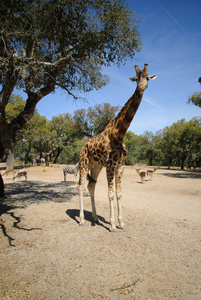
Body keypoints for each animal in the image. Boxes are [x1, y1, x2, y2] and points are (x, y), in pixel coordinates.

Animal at [77, 63, 157, 232]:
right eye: (136, 78)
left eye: (147, 78)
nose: (142, 86)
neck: (119, 134)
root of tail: (83, 147)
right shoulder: (110, 165)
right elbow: (111, 194)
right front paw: (113, 225)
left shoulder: (120, 165)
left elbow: (119, 194)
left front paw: (122, 223)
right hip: (84, 163)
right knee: (80, 186)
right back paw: (81, 220)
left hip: (95, 166)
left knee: (91, 186)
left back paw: (94, 217)